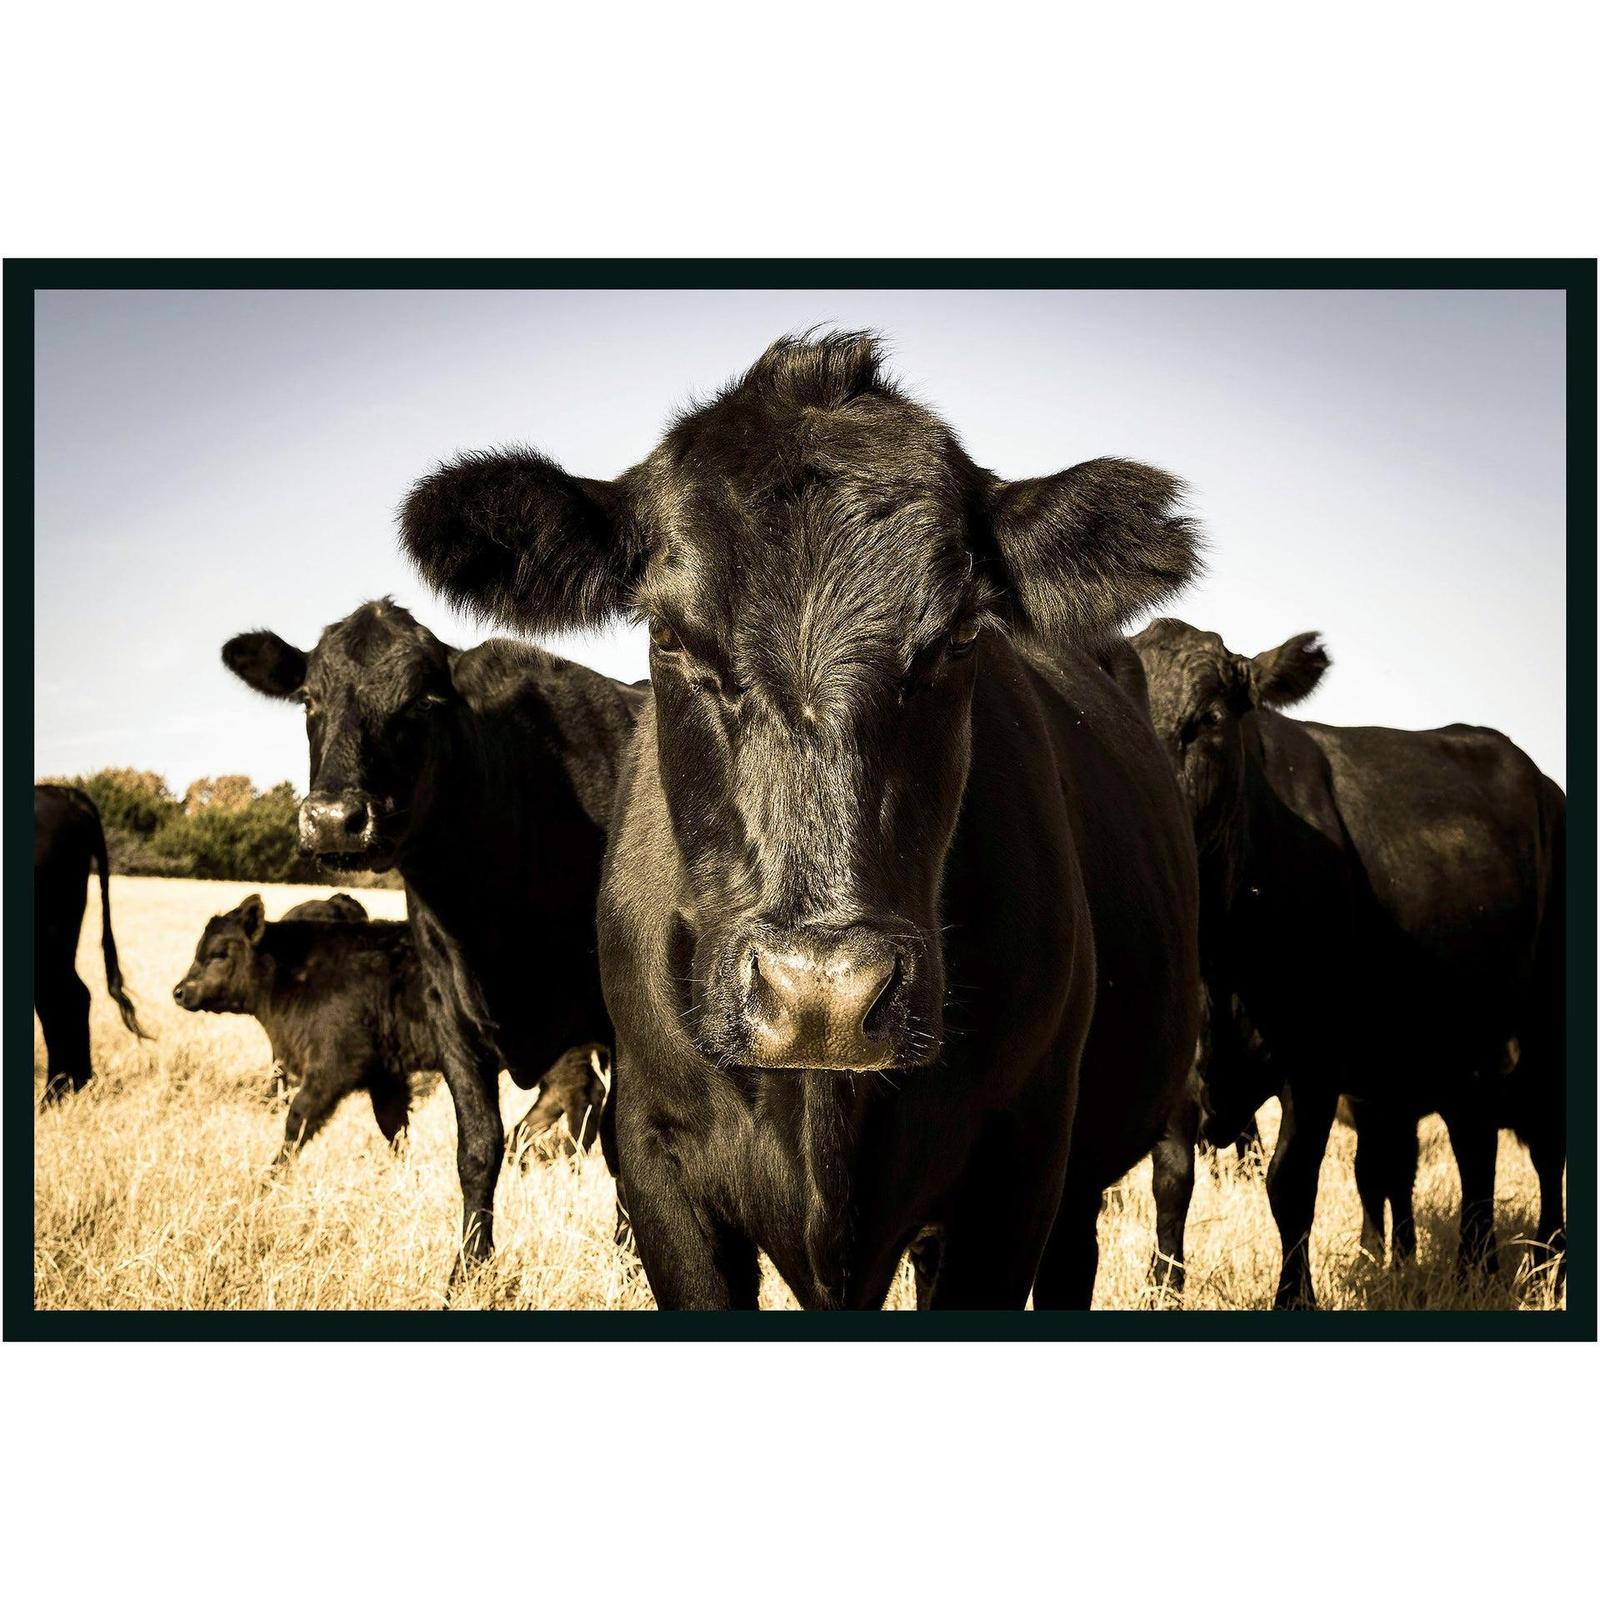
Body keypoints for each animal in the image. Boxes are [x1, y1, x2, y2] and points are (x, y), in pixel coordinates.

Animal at [220, 602, 643, 1278]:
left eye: (421, 700)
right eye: (309, 698)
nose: (334, 819)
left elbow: (623, 1146)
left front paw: (633, 1260)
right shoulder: (450, 1014)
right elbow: (479, 1146)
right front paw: (468, 1271)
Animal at [1131, 617, 1566, 1307]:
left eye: (1210, 719)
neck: (1219, 970)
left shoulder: (1315, 1062)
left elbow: (1290, 1184)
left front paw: (1295, 1297)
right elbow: (1172, 1184)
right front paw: (1162, 1288)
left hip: (1546, 1026)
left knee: (1546, 1145)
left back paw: (1549, 1266)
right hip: (1463, 1046)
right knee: (1475, 1145)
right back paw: (1476, 1268)